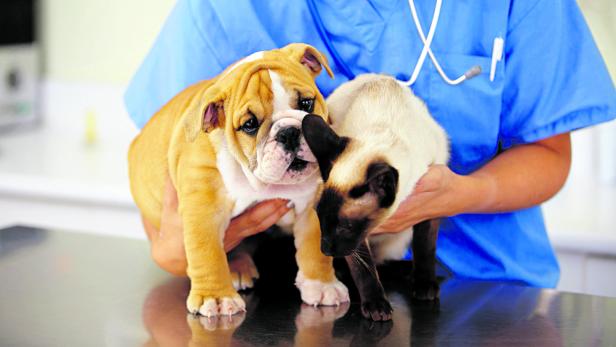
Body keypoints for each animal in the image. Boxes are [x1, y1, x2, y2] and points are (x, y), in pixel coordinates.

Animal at [127, 43, 348, 318]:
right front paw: (216, 297)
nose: (289, 133)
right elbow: (207, 252)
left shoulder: (310, 208)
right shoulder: (204, 209)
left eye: (307, 103)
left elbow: (315, 249)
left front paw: (322, 285)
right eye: (250, 124)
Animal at [302, 75, 450, 322]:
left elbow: (425, 247)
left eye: (344, 226)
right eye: (321, 220)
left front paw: (424, 284)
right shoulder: (357, 240)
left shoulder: (430, 201)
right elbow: (364, 269)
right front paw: (376, 306)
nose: (326, 250)